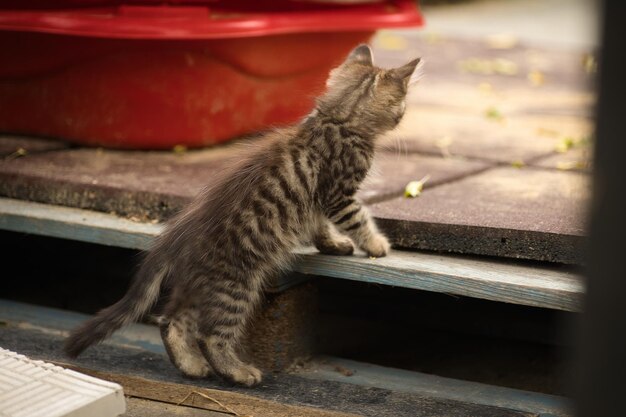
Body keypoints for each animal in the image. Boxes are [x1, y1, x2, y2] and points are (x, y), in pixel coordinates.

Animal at [64, 44, 420, 386]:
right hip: (235, 284)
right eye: (402, 104)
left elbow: (319, 226)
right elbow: (359, 219)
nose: (403, 116)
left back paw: (191, 366)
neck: (335, 118)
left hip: (199, 285)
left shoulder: (317, 202)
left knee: (171, 321)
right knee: (209, 334)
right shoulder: (338, 194)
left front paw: (333, 244)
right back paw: (236, 372)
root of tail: (175, 239)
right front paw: (375, 245)